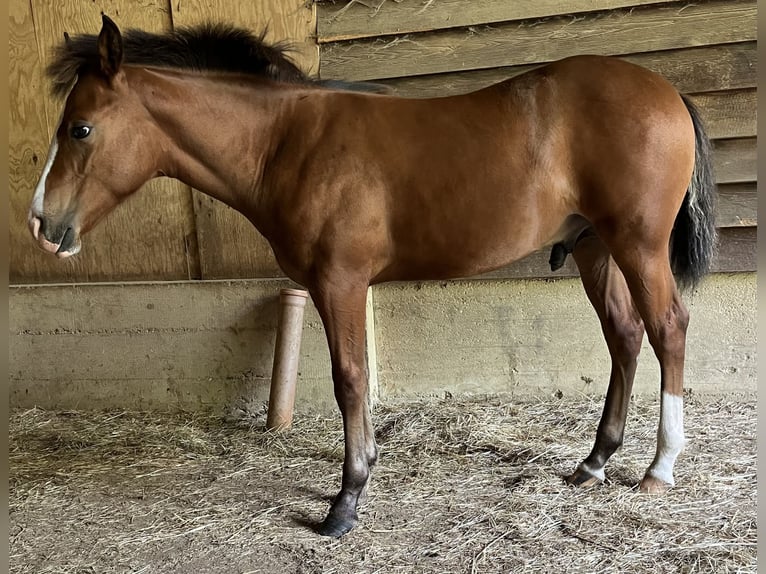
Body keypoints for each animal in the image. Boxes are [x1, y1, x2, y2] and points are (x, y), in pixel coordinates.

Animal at [28, 14, 716, 538]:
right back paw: (594, 462)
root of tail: (666, 91)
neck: (287, 143)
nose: (41, 223)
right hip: (594, 248)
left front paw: (346, 500)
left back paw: (659, 467)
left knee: (668, 327)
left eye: (80, 128)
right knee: (625, 335)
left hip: (637, 245)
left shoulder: (340, 283)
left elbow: (350, 380)